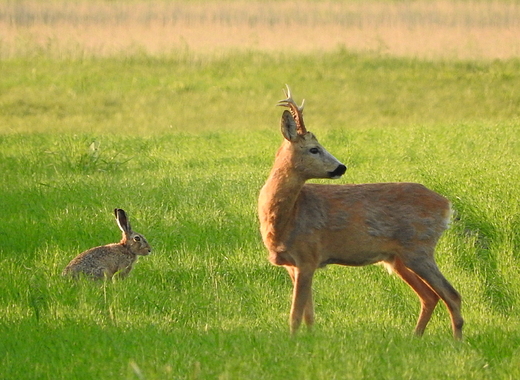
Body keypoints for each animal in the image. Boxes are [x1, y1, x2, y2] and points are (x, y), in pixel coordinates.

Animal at [258, 85, 466, 338]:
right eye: (314, 149)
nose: (341, 167)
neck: (287, 218)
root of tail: (446, 205)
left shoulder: (308, 255)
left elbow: (296, 314)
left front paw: (294, 341)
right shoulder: (293, 264)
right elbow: (308, 314)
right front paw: (309, 339)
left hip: (419, 248)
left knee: (451, 295)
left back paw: (456, 341)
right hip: (398, 258)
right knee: (430, 296)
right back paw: (415, 337)